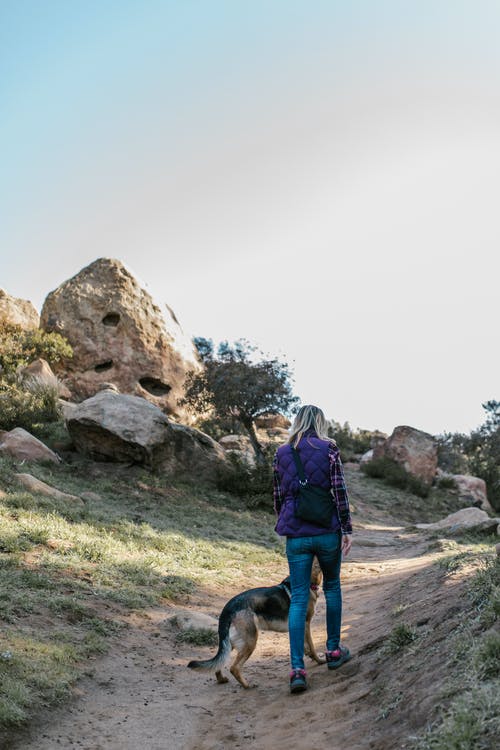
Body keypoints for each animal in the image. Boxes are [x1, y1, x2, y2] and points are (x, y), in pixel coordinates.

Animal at [188, 560, 324, 692]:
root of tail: (228, 608)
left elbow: (304, 646)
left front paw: (308, 654)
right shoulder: (306, 624)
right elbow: (312, 646)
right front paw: (319, 660)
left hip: (232, 643)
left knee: (221, 661)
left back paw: (222, 679)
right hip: (250, 642)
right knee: (234, 668)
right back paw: (247, 686)